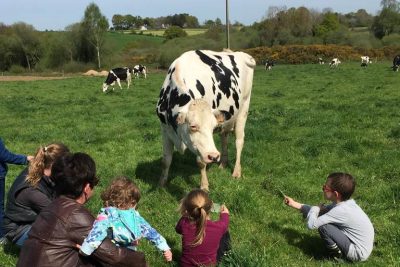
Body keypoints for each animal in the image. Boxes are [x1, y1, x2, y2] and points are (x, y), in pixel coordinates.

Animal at [155, 49, 255, 192]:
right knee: (224, 137)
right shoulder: (165, 130)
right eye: (193, 126)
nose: (214, 156)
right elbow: (166, 160)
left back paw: (236, 171)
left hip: (244, 109)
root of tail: (239, 53)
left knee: (239, 142)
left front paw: (204, 186)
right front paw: (161, 184)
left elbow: (201, 162)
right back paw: (223, 163)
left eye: (212, 128)